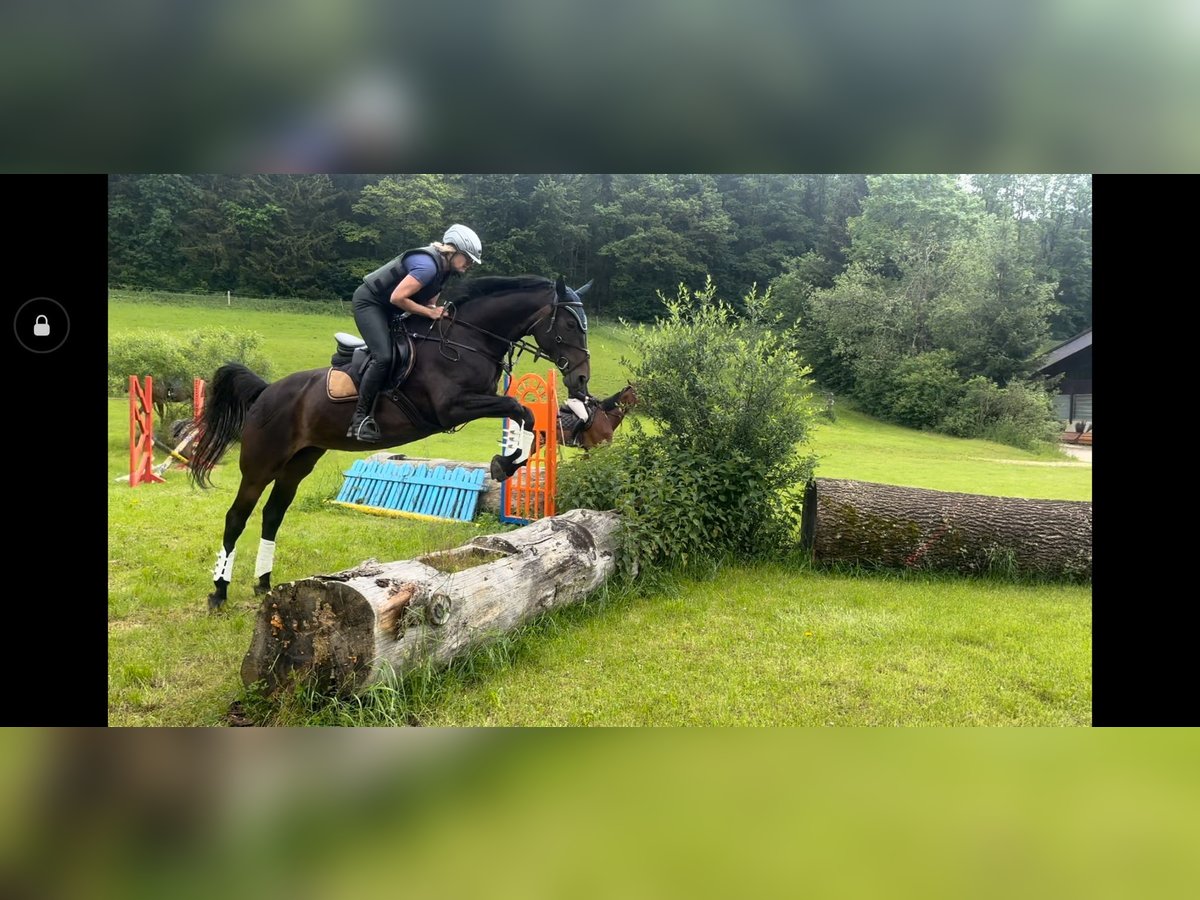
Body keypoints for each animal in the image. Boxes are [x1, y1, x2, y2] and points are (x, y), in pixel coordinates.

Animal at [188, 274, 592, 610]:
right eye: (570, 324)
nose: (582, 380)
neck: (466, 340)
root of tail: (266, 391)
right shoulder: (452, 407)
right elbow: (519, 408)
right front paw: (504, 462)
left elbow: (529, 419)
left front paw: (509, 459)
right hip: (262, 463)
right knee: (237, 517)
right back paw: (219, 592)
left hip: (299, 462)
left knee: (273, 514)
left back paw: (264, 584)